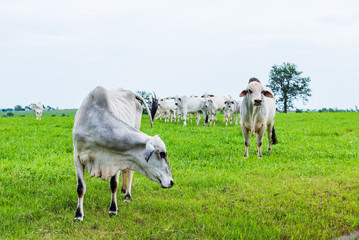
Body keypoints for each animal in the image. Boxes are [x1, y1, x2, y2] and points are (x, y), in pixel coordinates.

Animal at [72, 86, 174, 221]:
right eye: (162, 154)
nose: (171, 182)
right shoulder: (77, 157)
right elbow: (80, 188)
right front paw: (79, 215)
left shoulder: (116, 158)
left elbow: (113, 184)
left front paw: (113, 209)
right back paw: (124, 189)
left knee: (129, 171)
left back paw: (127, 195)